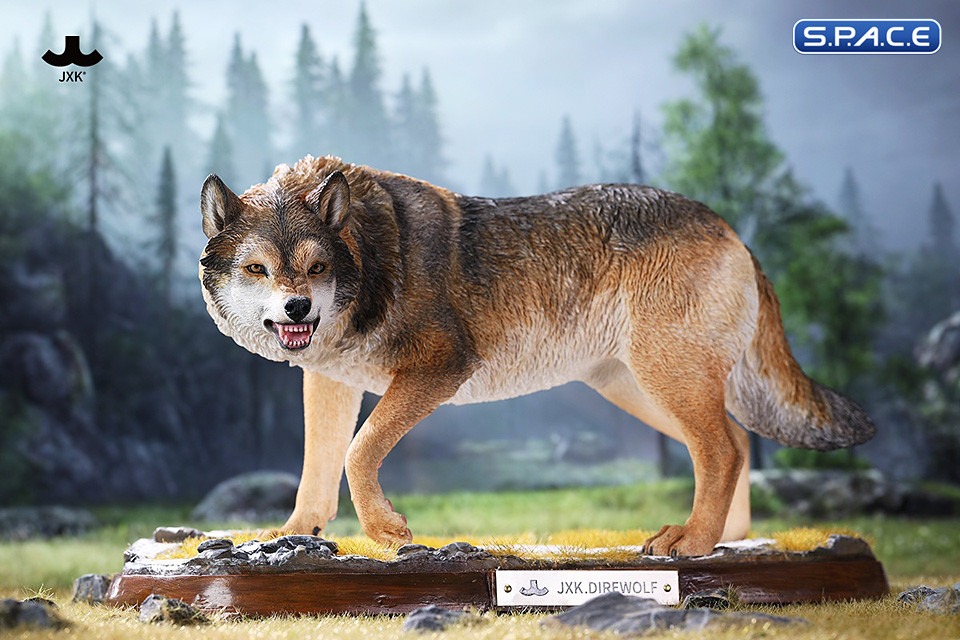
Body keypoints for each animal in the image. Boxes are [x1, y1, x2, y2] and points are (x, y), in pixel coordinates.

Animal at [199, 155, 875, 556]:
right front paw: (287, 539)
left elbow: (359, 452)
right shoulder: (330, 381)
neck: (369, 259)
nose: (297, 310)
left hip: (664, 379)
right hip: (640, 389)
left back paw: (692, 541)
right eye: (258, 269)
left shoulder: (440, 368)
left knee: (725, 449)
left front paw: (387, 530)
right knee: (732, 444)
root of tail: (730, 228)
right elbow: (316, 471)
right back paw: (724, 539)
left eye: (316, 267)